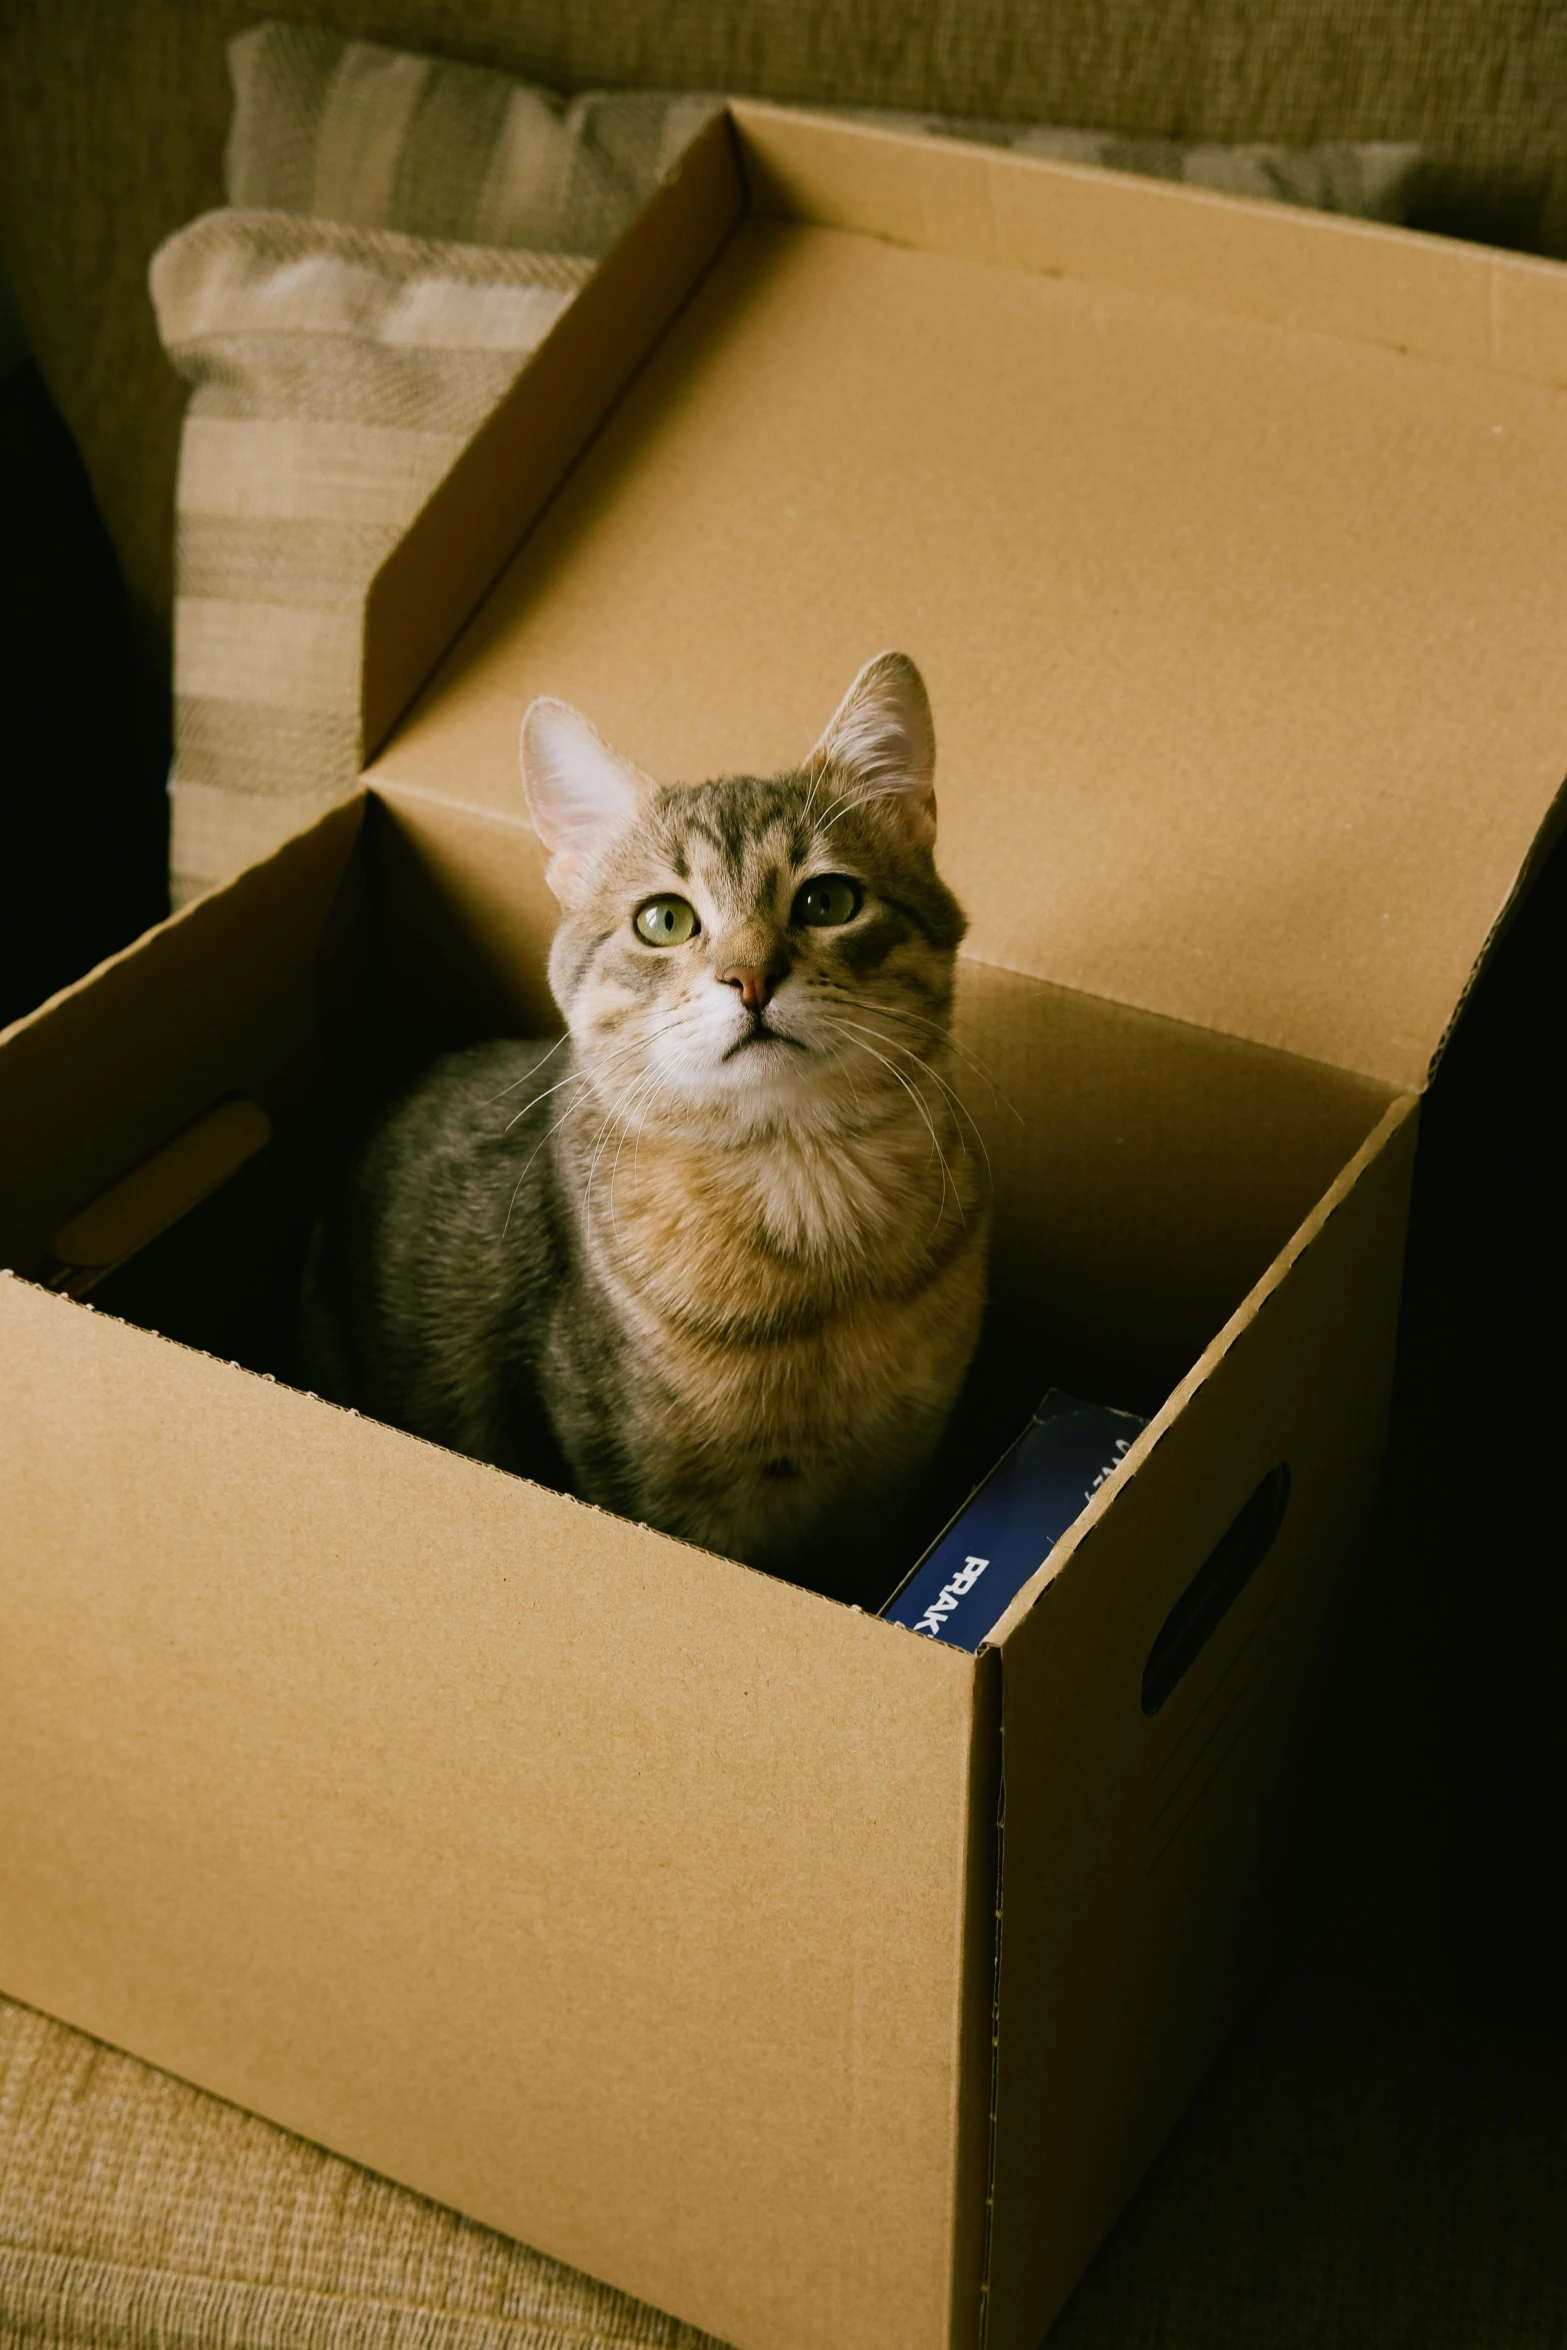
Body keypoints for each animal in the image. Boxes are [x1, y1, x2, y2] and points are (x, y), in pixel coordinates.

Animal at [303, 648, 991, 1597]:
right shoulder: (656, 1494)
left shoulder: (889, 1483)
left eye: (827, 902)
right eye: (664, 920)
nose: (750, 976)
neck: (802, 1189)